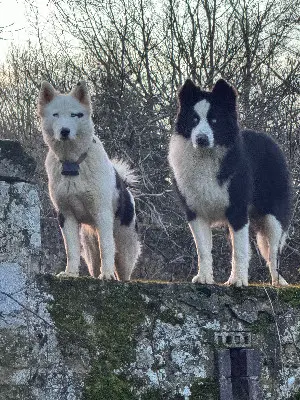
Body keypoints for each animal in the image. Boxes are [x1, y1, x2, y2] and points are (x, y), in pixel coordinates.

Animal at [37, 81, 141, 280]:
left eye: (74, 114)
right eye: (55, 114)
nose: (65, 131)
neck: (72, 163)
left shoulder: (102, 213)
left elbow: (106, 247)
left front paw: (106, 275)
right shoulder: (66, 215)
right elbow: (71, 250)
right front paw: (70, 273)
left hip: (125, 250)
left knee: (123, 271)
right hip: (90, 249)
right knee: (93, 262)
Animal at [170, 78, 292, 286]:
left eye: (214, 120)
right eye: (194, 119)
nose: (201, 139)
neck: (206, 157)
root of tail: (270, 140)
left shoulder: (237, 210)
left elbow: (240, 251)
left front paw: (239, 281)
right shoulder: (195, 212)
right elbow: (203, 250)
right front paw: (204, 277)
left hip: (272, 216)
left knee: (273, 252)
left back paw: (277, 281)